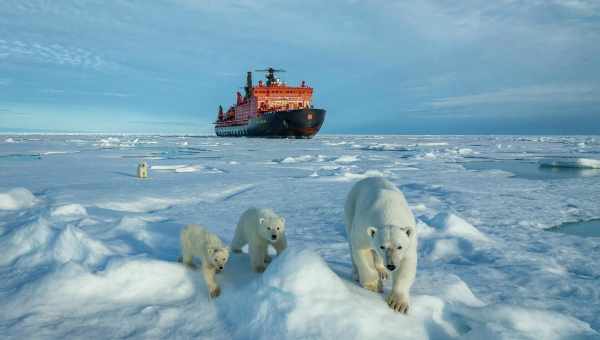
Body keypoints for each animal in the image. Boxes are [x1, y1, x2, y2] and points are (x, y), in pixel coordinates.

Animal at [346, 178, 418, 314]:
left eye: (399, 247)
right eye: (382, 246)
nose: (391, 266)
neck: (389, 213)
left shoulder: (409, 239)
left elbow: (406, 264)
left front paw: (398, 304)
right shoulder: (364, 226)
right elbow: (361, 250)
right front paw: (374, 286)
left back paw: (382, 271)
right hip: (351, 206)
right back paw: (357, 273)